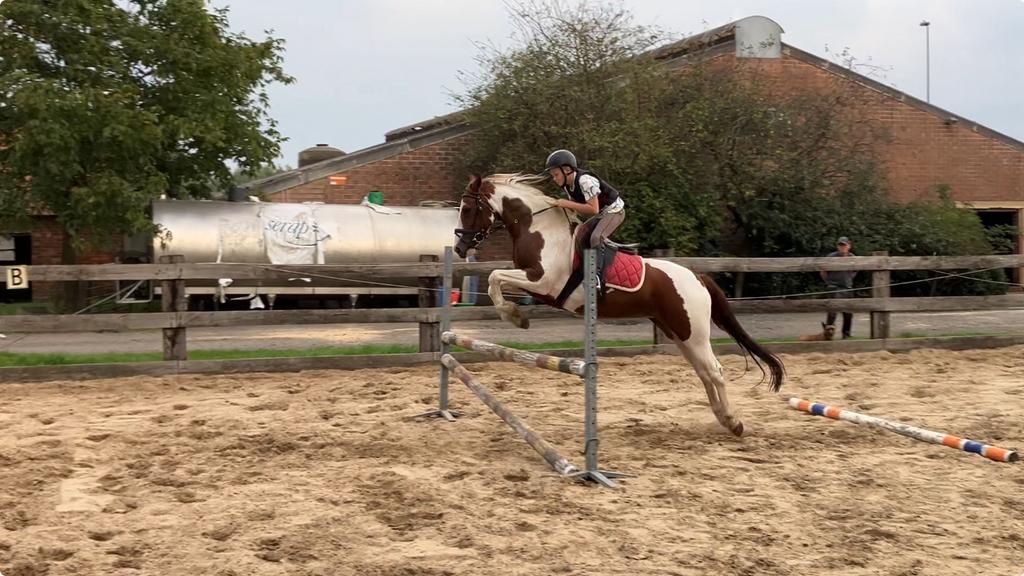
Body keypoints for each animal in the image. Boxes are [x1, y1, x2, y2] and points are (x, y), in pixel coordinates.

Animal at [454, 173, 784, 436]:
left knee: (715, 370)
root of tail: (697, 276)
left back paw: (733, 421)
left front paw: (515, 317)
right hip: (679, 333)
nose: (458, 247)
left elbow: (494, 277)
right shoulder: (534, 284)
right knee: (703, 372)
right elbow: (495, 281)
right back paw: (723, 418)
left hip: (694, 332)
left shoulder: (543, 282)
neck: (539, 231)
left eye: (467, 209)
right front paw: (515, 315)